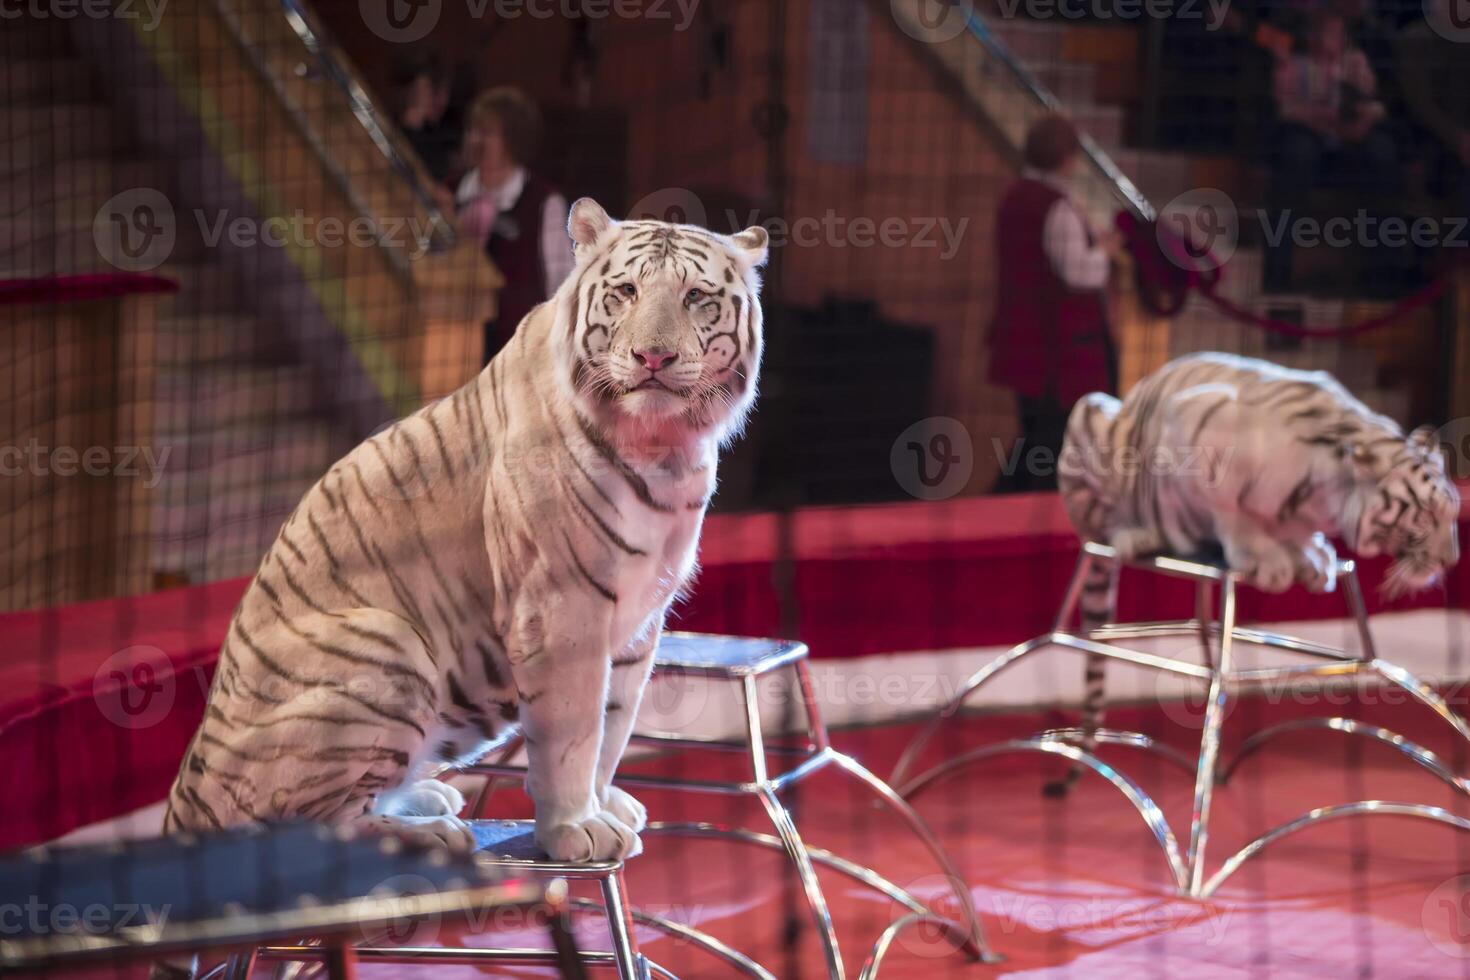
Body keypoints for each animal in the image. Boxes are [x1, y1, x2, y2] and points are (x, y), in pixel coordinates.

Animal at [163, 201, 770, 863]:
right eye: (627, 291)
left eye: (695, 297)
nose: (652, 358)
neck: (665, 446)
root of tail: (181, 807)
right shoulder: (562, 607)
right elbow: (575, 732)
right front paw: (574, 829)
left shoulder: (641, 616)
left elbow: (615, 724)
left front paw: (605, 804)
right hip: (387, 644)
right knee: (313, 828)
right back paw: (427, 829)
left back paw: (426, 797)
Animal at [1052, 351, 1464, 787]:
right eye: (1426, 516)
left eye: (1452, 512)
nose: (1451, 560)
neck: (1326, 496)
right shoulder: (1199, 432)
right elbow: (1231, 511)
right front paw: (1265, 559)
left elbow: (1295, 531)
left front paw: (1311, 556)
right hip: (1091, 418)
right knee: (1107, 524)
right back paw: (1137, 533)